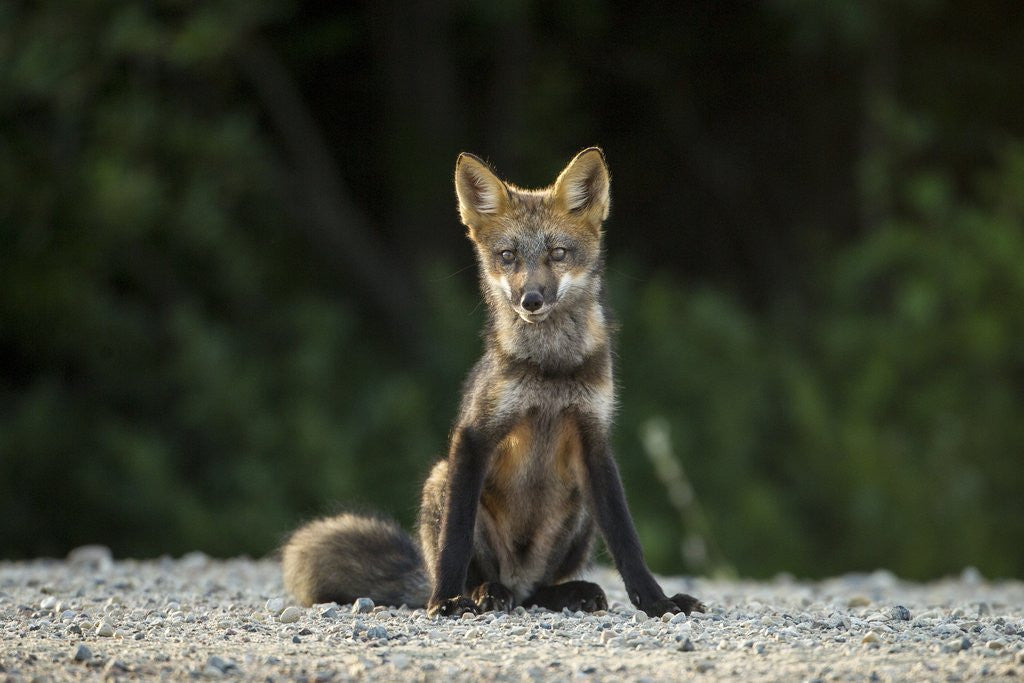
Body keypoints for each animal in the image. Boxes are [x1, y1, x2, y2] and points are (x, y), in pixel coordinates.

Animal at [282, 148, 705, 618]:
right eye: (508, 256)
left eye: (558, 253)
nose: (531, 300)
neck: (550, 372)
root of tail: (517, 578)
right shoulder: (474, 436)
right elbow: (457, 536)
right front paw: (447, 600)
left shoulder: (594, 441)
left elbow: (627, 540)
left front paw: (657, 601)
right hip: (441, 478)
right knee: (481, 574)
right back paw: (481, 593)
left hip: (579, 507)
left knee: (536, 590)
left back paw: (563, 593)